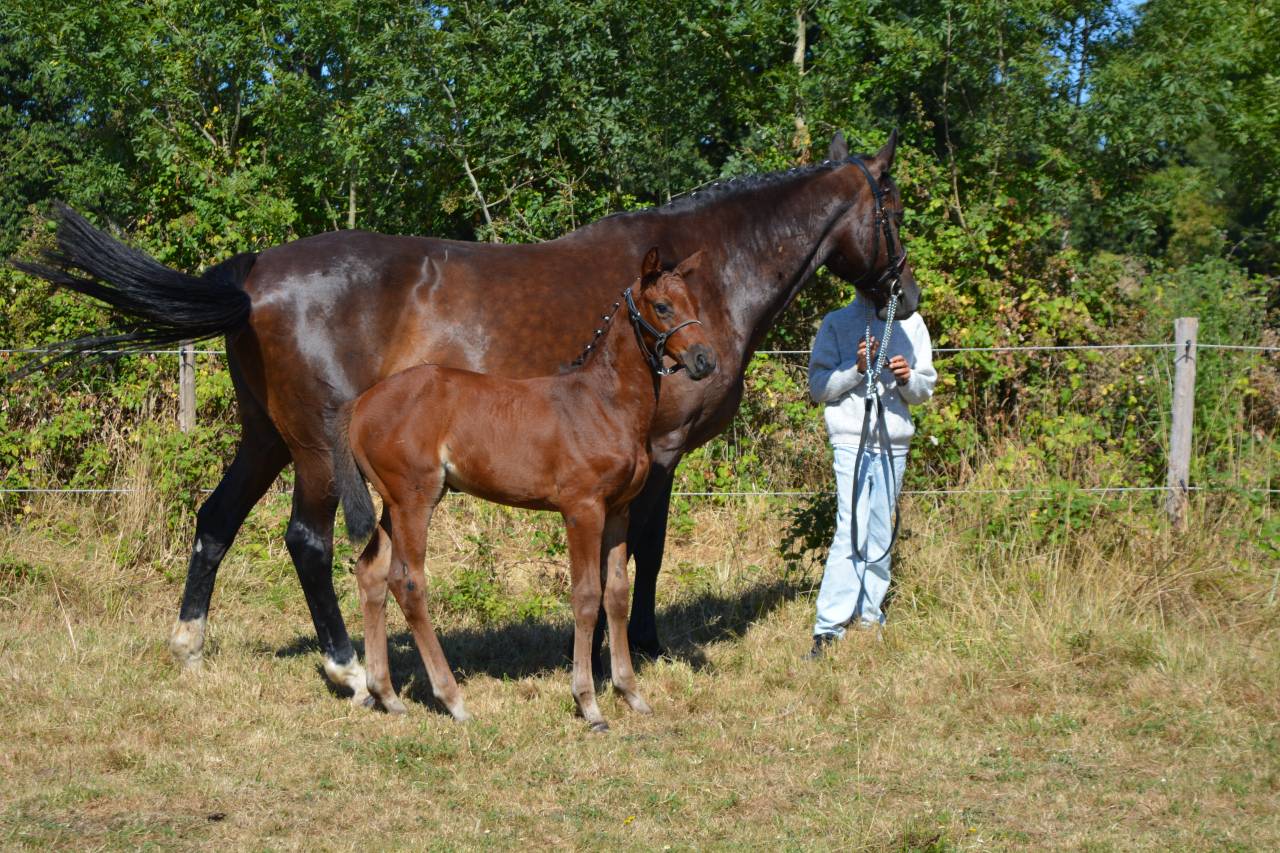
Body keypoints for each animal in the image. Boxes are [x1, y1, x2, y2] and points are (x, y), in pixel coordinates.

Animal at [333, 248, 715, 730]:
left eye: (696, 305)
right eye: (662, 307)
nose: (706, 360)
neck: (604, 404)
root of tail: (361, 404)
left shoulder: (618, 510)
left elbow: (616, 594)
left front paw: (631, 694)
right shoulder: (582, 509)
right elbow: (586, 596)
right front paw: (588, 704)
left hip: (394, 503)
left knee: (371, 572)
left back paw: (386, 695)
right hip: (414, 500)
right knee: (408, 582)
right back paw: (452, 700)